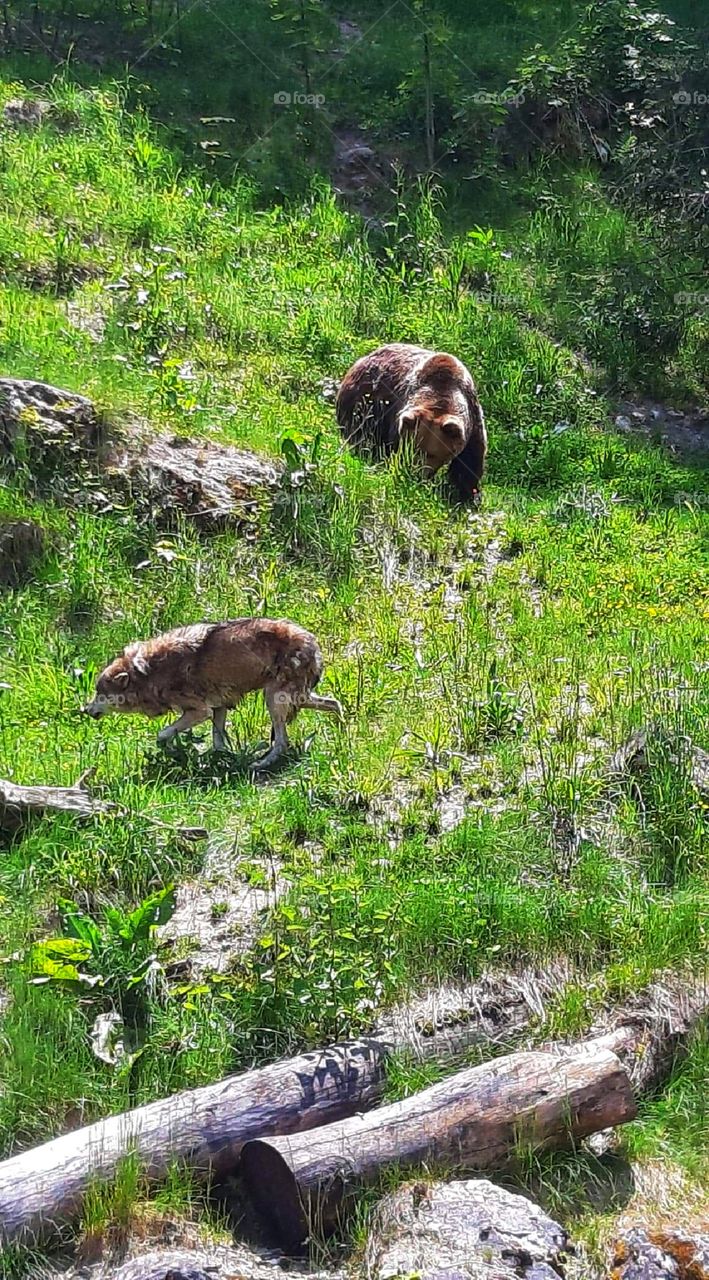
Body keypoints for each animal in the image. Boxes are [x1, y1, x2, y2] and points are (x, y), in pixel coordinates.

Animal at [332, 343, 483, 496]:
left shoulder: (472, 420)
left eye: (431, 454)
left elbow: (469, 462)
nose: (416, 474)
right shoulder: (397, 420)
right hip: (363, 404)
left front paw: (466, 493)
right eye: (413, 449)